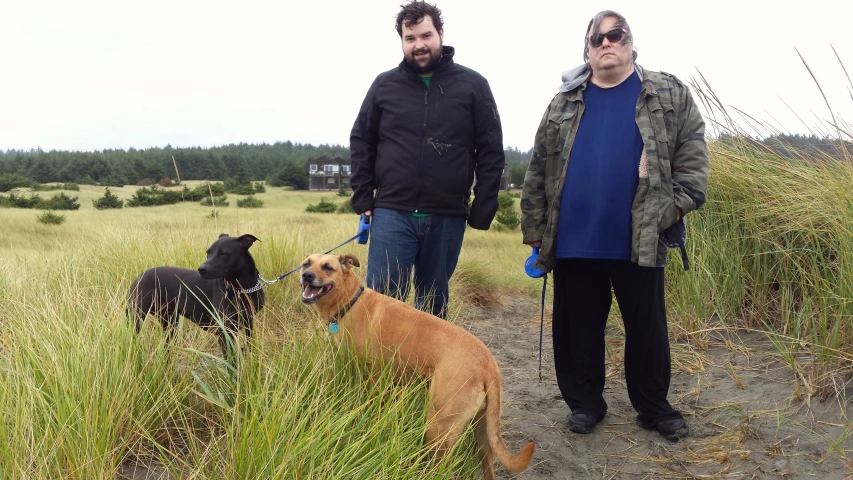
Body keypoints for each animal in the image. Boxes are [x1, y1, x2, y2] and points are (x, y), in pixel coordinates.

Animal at [127, 234, 262, 358]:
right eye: (208, 253)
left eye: (223, 253)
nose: (201, 269)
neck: (242, 289)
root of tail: (139, 276)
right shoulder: (225, 331)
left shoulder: (249, 323)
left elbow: (250, 347)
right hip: (136, 318)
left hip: (170, 322)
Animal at [300, 253, 532, 478]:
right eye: (306, 263)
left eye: (328, 267)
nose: (306, 276)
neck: (350, 300)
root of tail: (489, 365)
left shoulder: (372, 376)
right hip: (483, 435)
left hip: (439, 428)